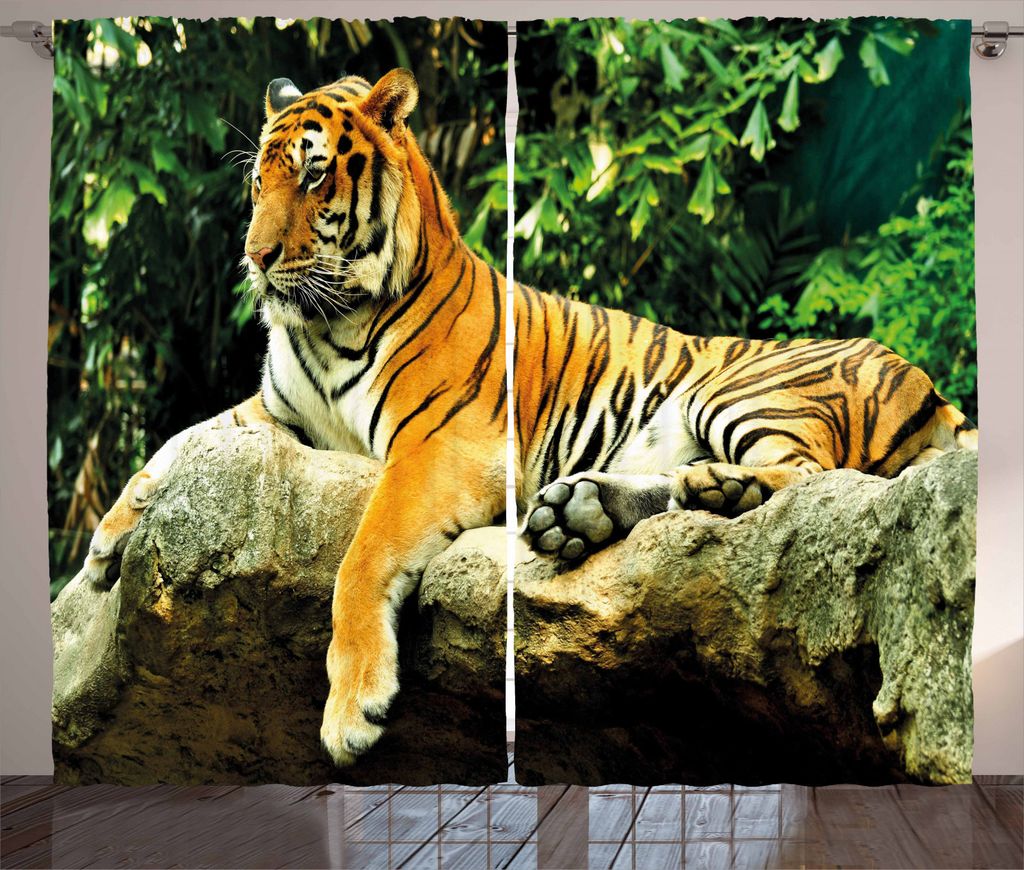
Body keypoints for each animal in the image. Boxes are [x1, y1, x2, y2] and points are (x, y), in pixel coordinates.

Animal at [78, 68, 506, 767]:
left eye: (312, 175)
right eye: (260, 181)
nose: (255, 256)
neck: (333, 326)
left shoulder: (443, 442)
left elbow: (364, 555)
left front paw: (352, 708)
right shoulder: (273, 410)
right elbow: (180, 441)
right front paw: (112, 532)